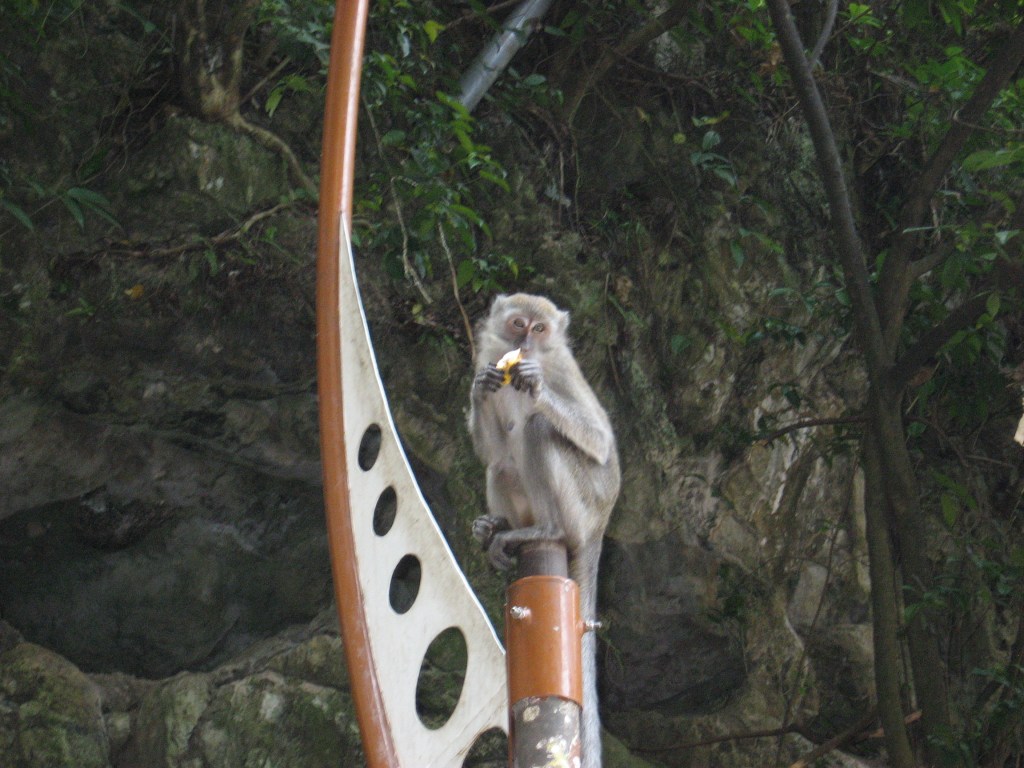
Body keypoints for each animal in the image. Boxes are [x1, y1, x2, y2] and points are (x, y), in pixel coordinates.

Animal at [467, 293, 620, 768]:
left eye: (539, 330)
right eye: (518, 324)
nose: (524, 344)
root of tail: (601, 525)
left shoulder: (560, 369)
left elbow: (599, 442)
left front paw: (535, 387)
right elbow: (490, 450)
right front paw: (480, 387)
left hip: (581, 507)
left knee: (539, 428)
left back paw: (542, 529)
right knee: (501, 465)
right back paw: (497, 528)